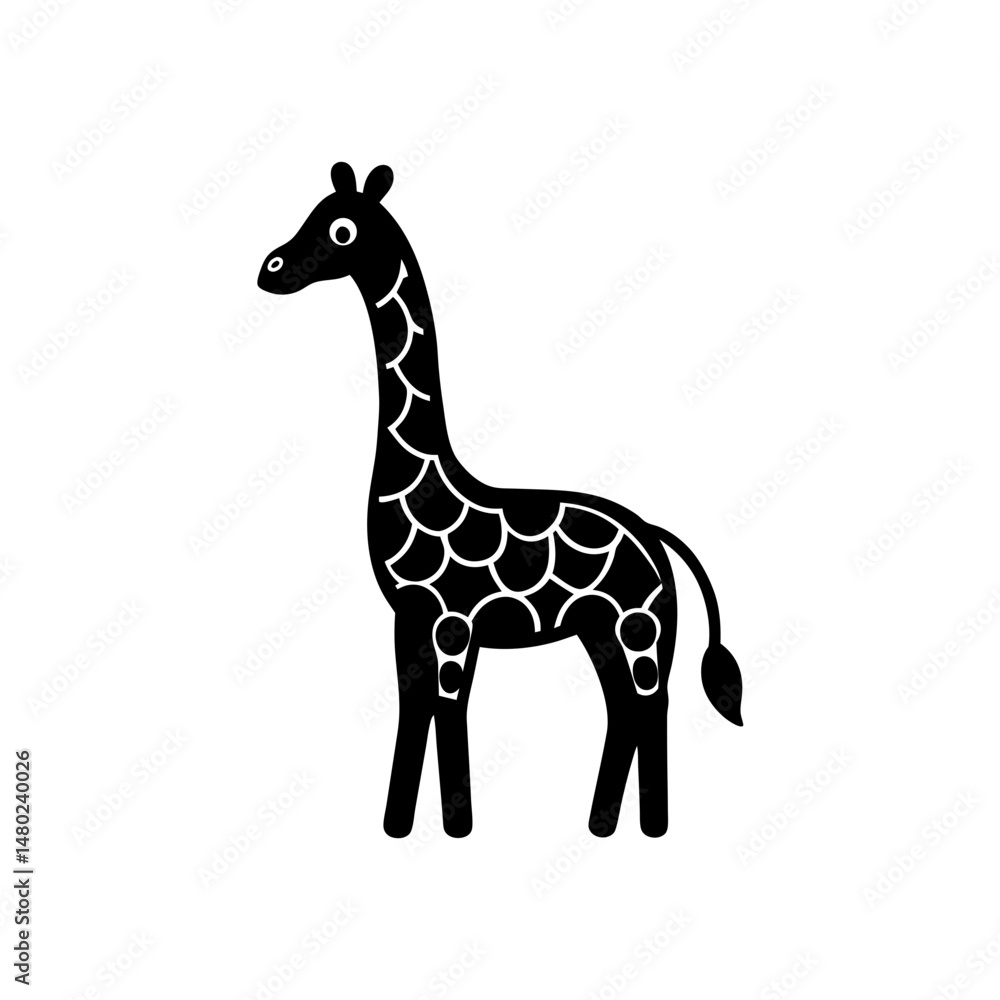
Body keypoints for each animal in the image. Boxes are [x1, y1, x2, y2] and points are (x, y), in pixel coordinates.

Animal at [257, 162, 744, 839]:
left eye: (342, 229)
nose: (271, 268)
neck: (429, 482)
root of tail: (655, 535)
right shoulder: (410, 621)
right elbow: (414, 710)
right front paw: (398, 826)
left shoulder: (454, 622)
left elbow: (450, 707)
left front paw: (458, 828)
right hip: (599, 629)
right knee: (622, 706)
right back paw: (600, 824)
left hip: (641, 627)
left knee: (652, 702)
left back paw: (650, 827)